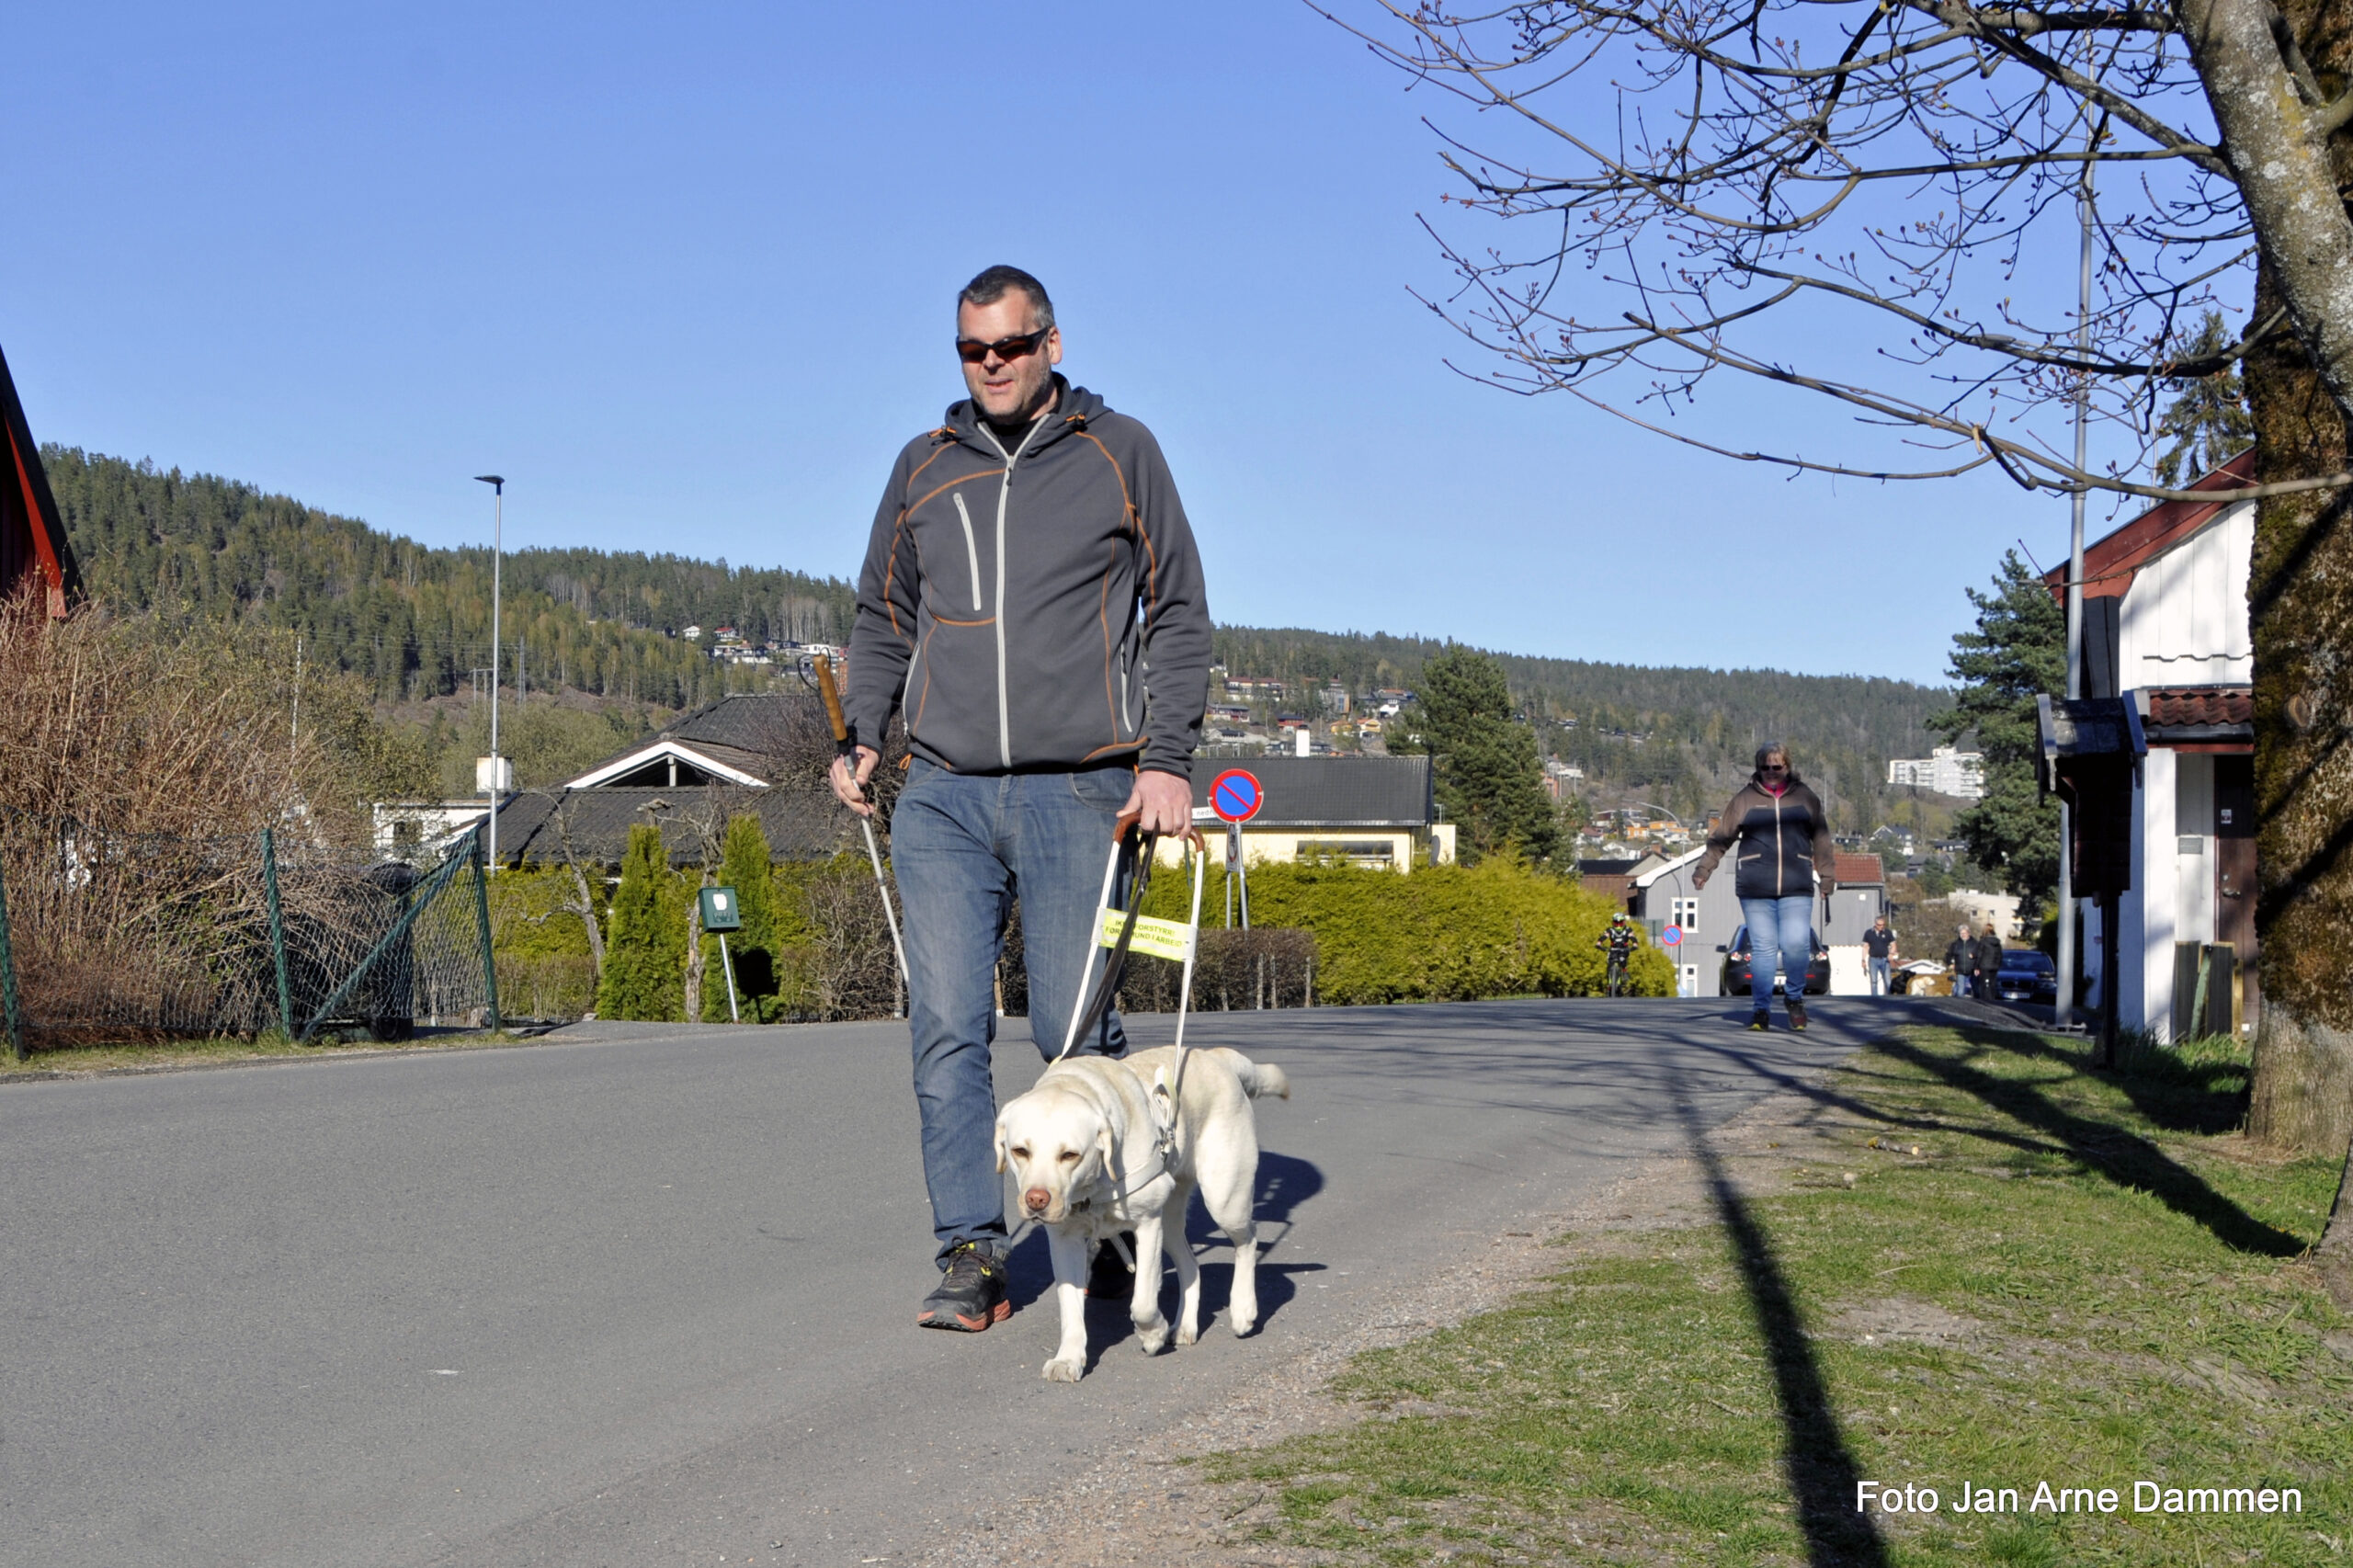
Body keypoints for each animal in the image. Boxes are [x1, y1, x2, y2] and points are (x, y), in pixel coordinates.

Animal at [993, 1045, 1289, 1374]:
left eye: (1070, 1155)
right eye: (1020, 1151)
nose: (1036, 1200)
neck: (1093, 1187)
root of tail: (1213, 1054)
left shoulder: (1147, 1223)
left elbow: (1144, 1302)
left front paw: (1152, 1334)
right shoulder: (1064, 1240)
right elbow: (1070, 1309)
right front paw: (1068, 1358)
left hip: (1224, 1198)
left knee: (1248, 1239)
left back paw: (1243, 1309)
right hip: (1171, 1221)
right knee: (1191, 1265)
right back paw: (1185, 1326)